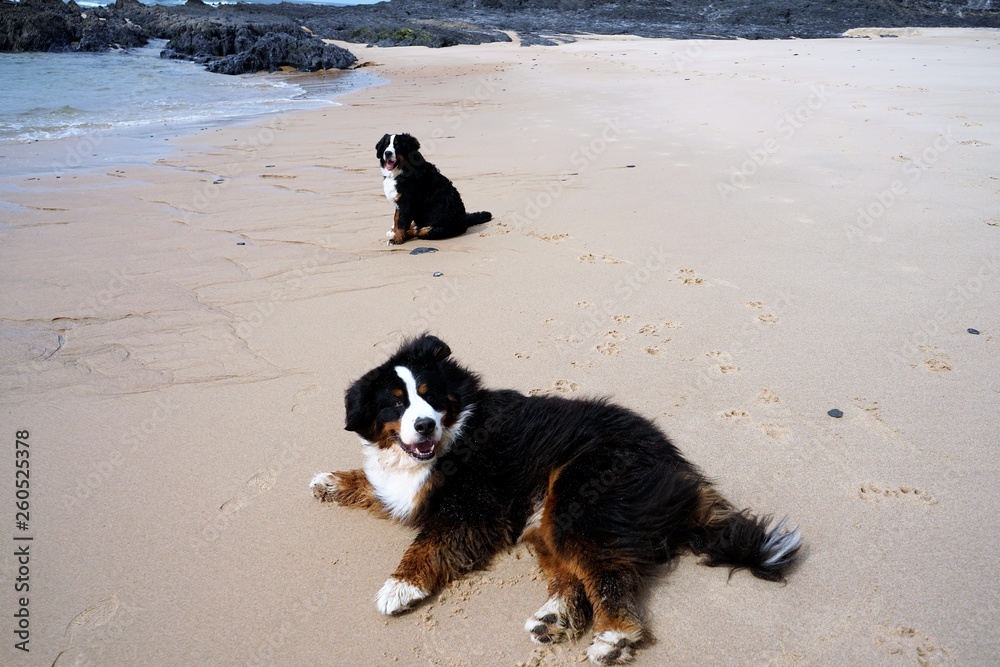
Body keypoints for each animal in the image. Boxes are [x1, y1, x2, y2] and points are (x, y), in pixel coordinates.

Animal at [308, 336, 800, 664]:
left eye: (429, 397)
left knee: (607, 573)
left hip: (578, 500)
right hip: (545, 519)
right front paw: (328, 481)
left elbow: (426, 543)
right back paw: (555, 618)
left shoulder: (470, 509)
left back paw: (614, 636)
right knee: (574, 576)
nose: (425, 425)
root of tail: (679, 471)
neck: (453, 435)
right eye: (395, 405)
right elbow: (373, 482)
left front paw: (398, 586)